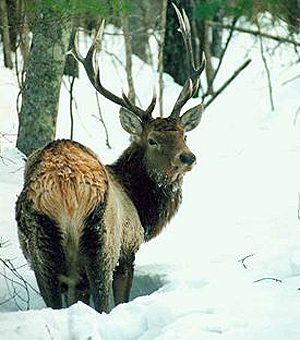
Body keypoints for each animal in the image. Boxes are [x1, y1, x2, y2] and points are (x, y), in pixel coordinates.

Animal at [15, 5, 205, 314]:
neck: (141, 207)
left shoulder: (72, 279)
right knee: (103, 301)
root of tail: (65, 188)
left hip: (39, 248)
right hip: (102, 243)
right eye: (152, 140)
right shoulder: (128, 252)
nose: (188, 157)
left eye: (184, 135)